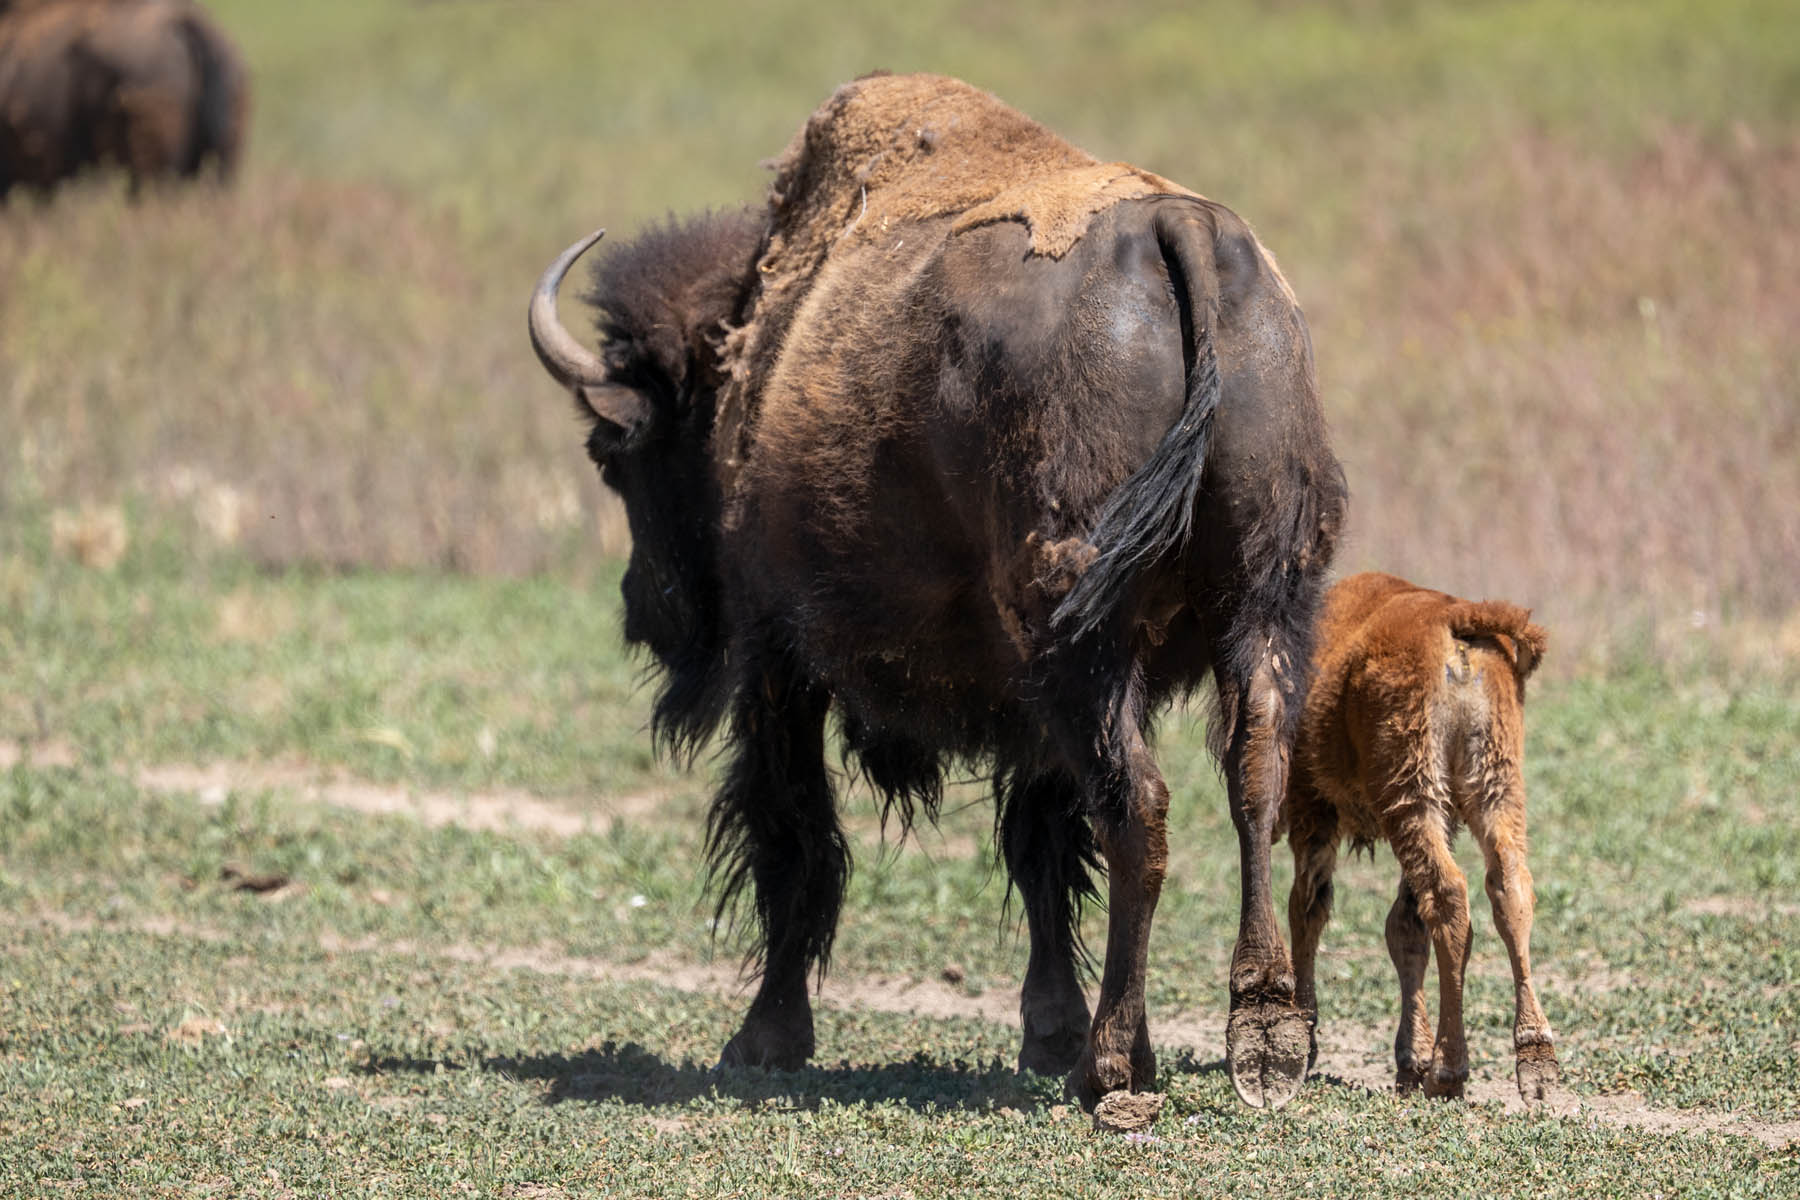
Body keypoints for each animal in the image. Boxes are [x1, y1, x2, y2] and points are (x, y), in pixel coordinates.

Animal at [529, 73, 1346, 1112]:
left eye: (615, 454)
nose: (645, 609)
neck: (752, 348)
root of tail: (1183, 231)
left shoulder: (778, 660)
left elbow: (793, 836)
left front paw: (763, 1037)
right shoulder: (1028, 700)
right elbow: (1039, 847)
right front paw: (1045, 1031)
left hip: (1085, 642)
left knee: (1139, 808)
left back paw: (1115, 1065)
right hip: (1264, 607)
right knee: (1252, 786)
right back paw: (1266, 1039)